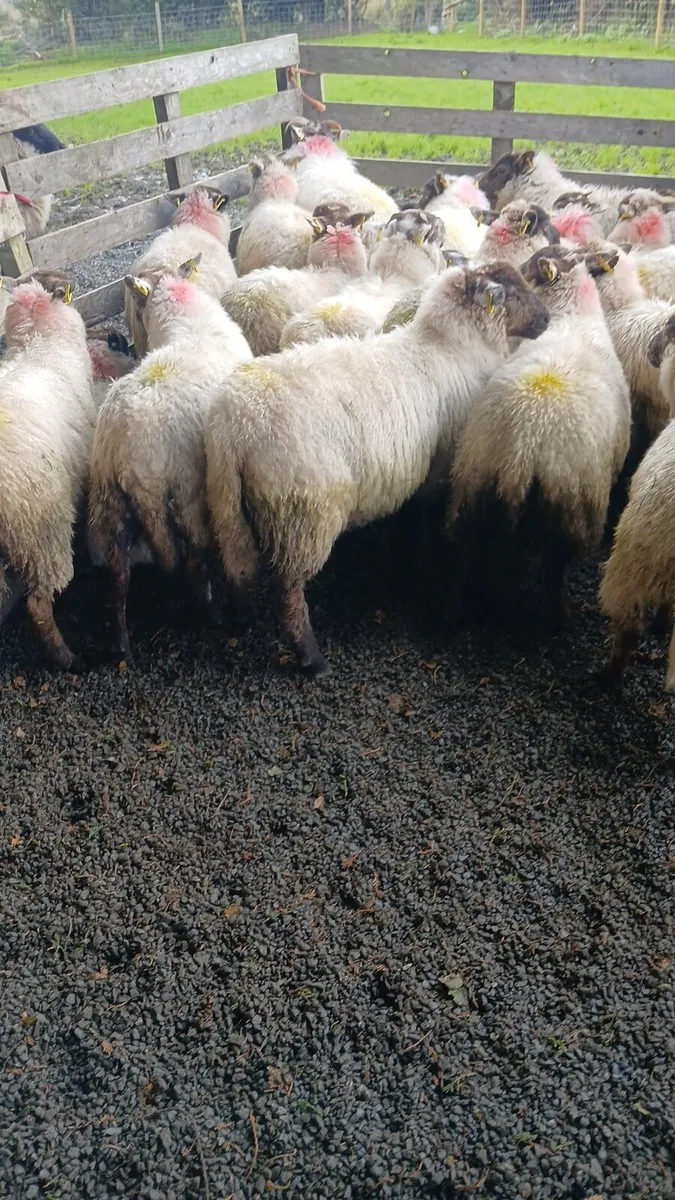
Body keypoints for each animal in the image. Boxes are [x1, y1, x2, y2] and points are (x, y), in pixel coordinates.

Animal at [88, 264, 252, 659]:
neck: (186, 318)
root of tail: (123, 445)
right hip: (184, 490)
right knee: (189, 561)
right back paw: (213, 615)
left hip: (109, 502)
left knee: (119, 573)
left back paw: (122, 645)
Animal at [205, 261, 549, 673]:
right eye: (510, 293)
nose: (547, 318)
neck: (449, 347)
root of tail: (236, 426)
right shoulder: (438, 466)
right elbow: (421, 515)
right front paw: (416, 558)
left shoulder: (402, 470)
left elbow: (400, 513)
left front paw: (385, 554)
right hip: (303, 512)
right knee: (288, 590)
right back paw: (311, 657)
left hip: (226, 503)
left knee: (236, 565)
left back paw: (240, 618)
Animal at [447, 247, 630, 625]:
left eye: (529, 268)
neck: (572, 317)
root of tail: (524, 443)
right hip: (571, 503)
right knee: (553, 566)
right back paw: (561, 613)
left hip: (472, 477)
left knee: (463, 552)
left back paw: (453, 611)